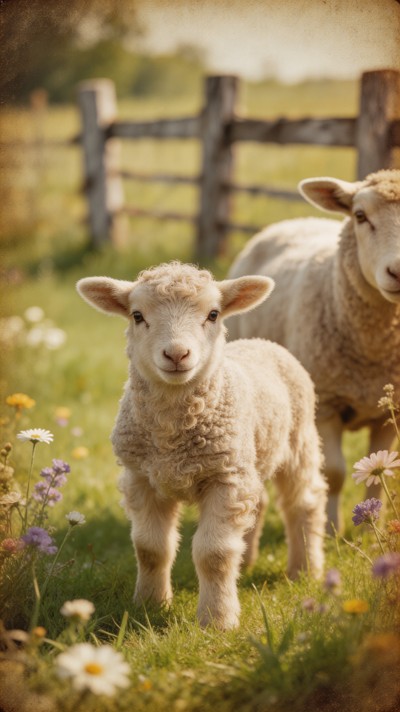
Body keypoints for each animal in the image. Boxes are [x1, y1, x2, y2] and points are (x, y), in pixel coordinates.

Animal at [76, 261, 326, 630]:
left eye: (213, 314)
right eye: (137, 315)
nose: (177, 354)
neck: (171, 435)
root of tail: (262, 342)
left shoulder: (224, 478)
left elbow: (214, 554)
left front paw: (217, 619)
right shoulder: (141, 478)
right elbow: (150, 548)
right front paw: (149, 605)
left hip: (299, 442)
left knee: (303, 504)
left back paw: (305, 570)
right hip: (250, 459)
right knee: (258, 506)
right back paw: (247, 562)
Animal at [226, 169, 400, 532]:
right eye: (360, 216)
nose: (399, 271)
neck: (374, 353)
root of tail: (294, 221)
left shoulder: (390, 413)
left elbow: (381, 474)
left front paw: (371, 528)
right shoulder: (326, 405)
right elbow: (334, 473)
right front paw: (332, 527)